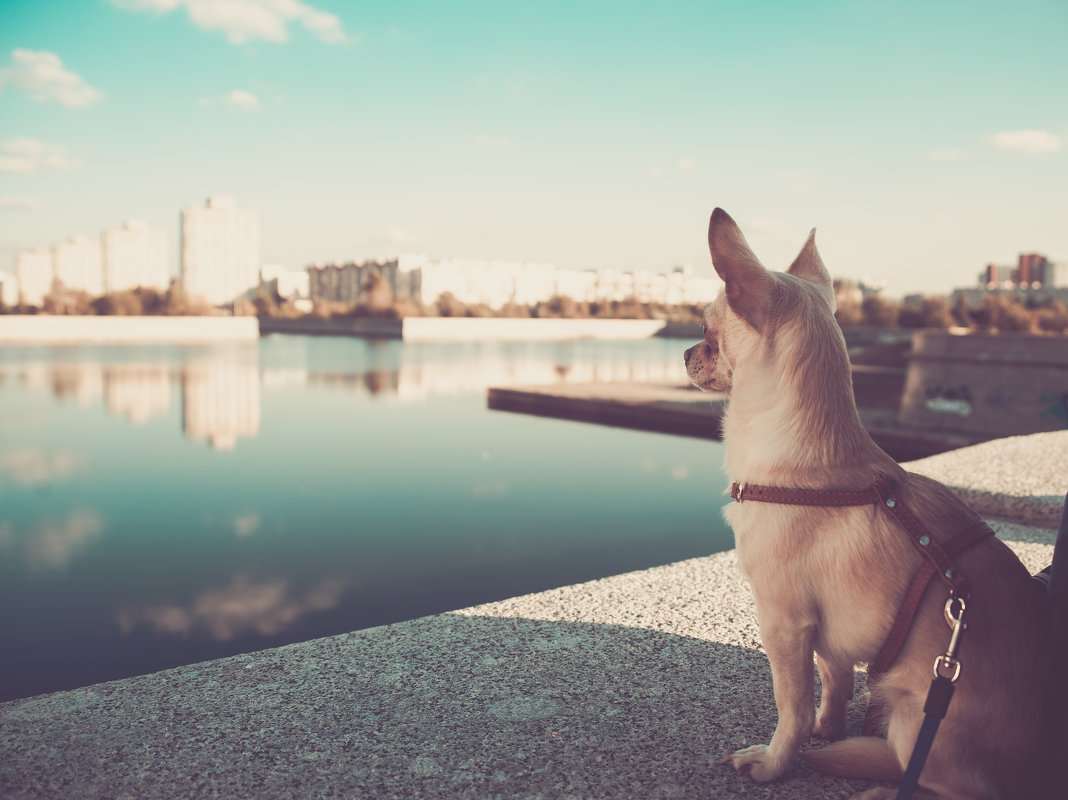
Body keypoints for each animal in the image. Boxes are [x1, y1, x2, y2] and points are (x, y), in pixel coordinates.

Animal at [683, 209, 1042, 794]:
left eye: (705, 331)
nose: (686, 353)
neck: (813, 467)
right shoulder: (824, 630)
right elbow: (834, 682)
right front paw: (829, 729)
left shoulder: (784, 622)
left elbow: (792, 705)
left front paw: (776, 763)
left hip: (916, 721)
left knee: (944, 785)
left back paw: (879, 784)